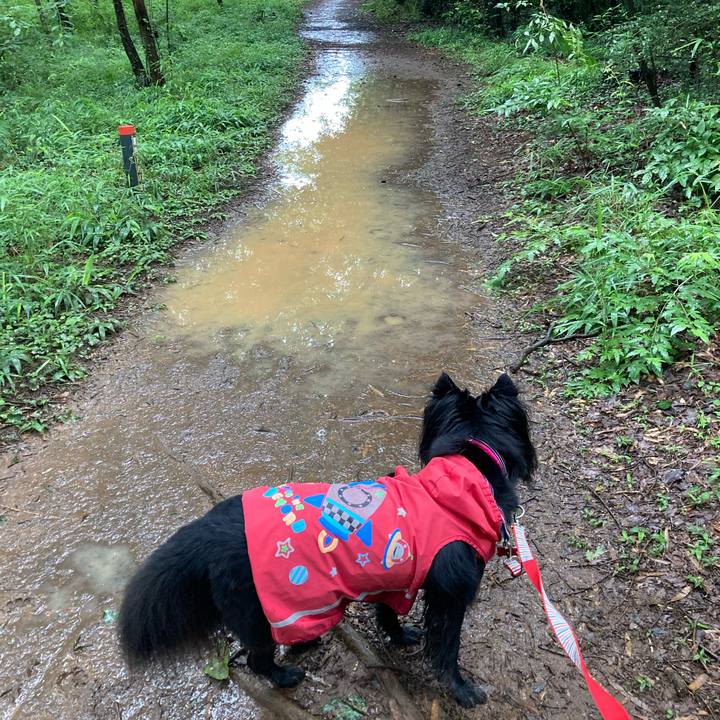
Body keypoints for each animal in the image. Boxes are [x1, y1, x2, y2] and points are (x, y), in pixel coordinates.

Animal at [119, 372, 536, 707]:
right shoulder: (450, 598)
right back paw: (285, 675)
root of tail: (207, 528)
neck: (461, 477)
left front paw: (400, 637)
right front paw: (461, 690)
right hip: (257, 612)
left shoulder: (393, 579)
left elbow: (388, 615)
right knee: (257, 658)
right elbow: (447, 650)